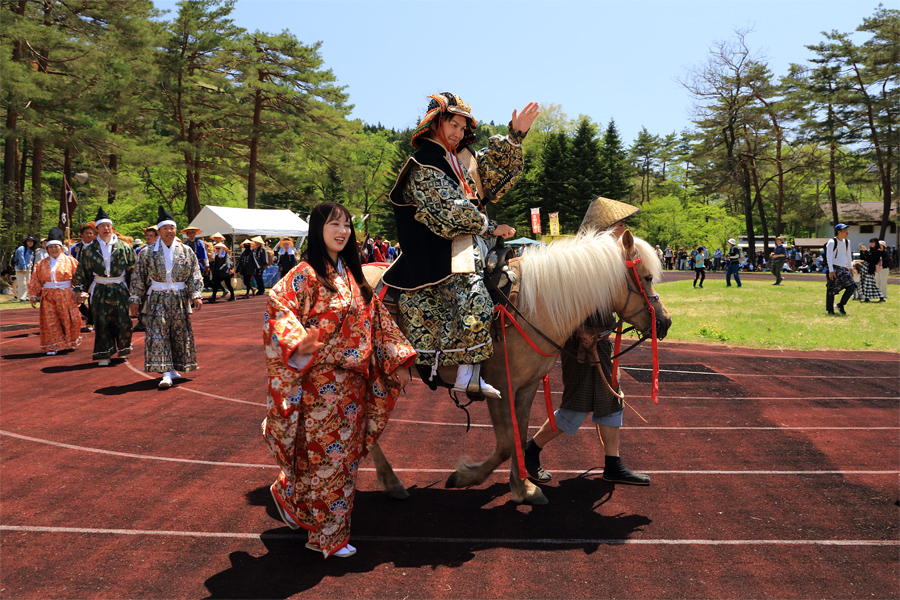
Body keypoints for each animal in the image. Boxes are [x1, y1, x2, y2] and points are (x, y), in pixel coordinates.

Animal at [364, 230, 668, 506]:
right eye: (647, 278)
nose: (665, 322)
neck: (533, 307)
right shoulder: (501, 387)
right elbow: (506, 442)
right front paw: (466, 476)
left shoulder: (527, 387)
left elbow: (519, 436)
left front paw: (523, 488)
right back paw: (391, 481)